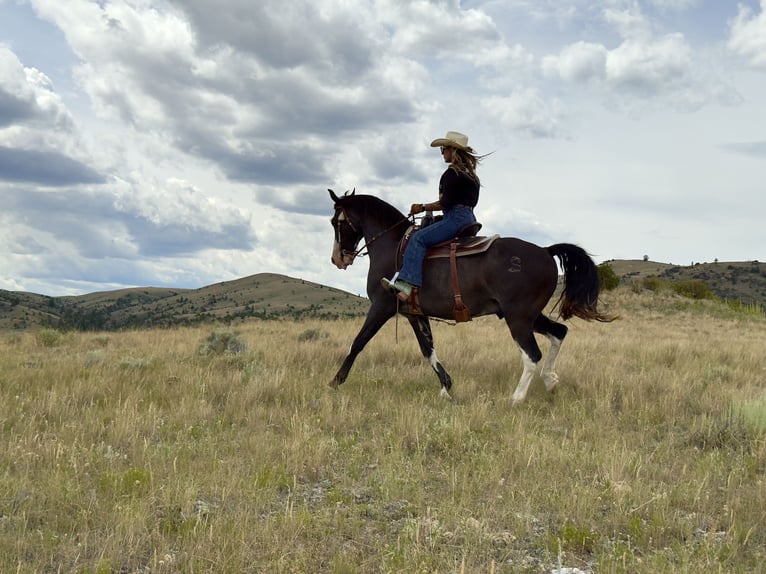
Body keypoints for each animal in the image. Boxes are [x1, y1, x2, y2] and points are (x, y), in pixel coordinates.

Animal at [328, 189, 612, 403]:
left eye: (337, 222)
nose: (337, 259)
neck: (393, 245)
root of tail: (545, 250)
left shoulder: (382, 306)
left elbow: (358, 342)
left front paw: (335, 381)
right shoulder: (414, 314)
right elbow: (427, 349)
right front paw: (446, 387)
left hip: (518, 318)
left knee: (532, 354)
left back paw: (516, 398)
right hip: (529, 315)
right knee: (559, 333)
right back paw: (550, 381)